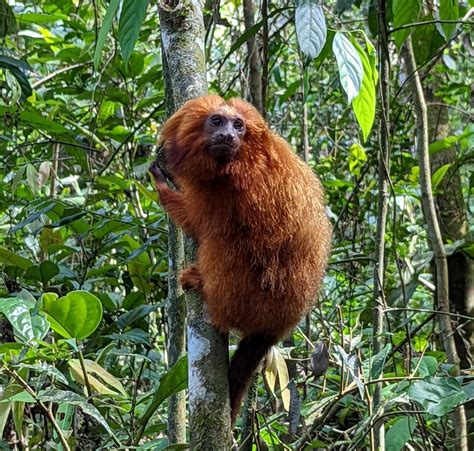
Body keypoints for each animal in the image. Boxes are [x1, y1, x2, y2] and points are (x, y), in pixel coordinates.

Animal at [150, 95, 332, 424]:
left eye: (238, 126)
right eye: (217, 121)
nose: (228, 135)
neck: (244, 155)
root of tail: (276, 325)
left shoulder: (231, 190)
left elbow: (197, 223)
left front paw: (161, 185)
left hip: (249, 298)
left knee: (225, 243)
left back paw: (203, 286)